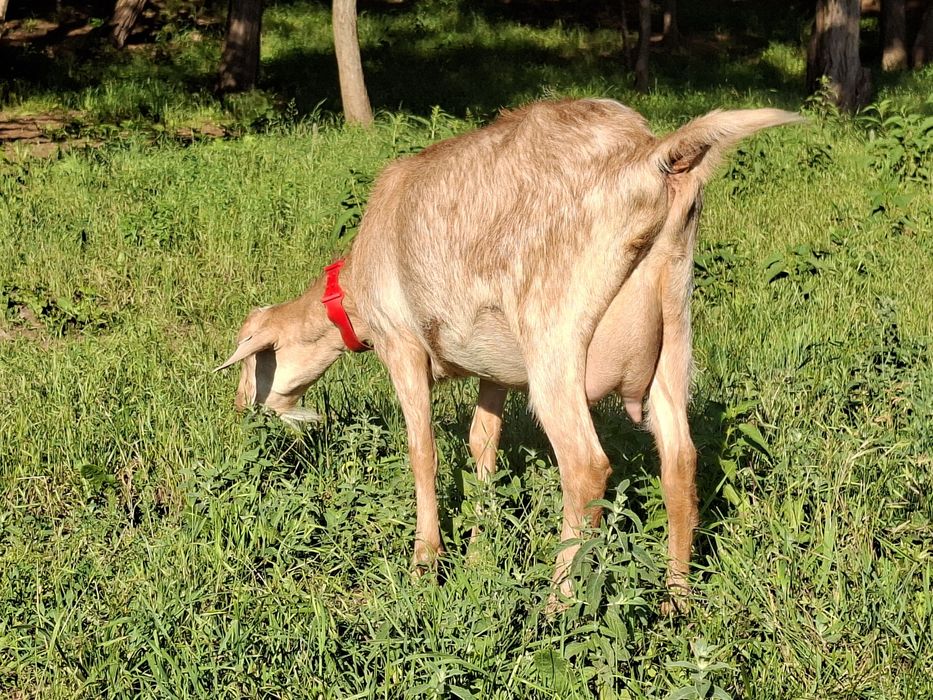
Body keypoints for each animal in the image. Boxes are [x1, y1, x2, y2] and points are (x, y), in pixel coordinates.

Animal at [217, 99, 802, 608]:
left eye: (251, 361)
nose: (243, 412)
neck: (355, 293)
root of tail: (651, 157)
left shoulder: (402, 345)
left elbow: (423, 450)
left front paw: (426, 561)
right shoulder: (493, 367)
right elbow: (483, 446)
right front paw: (478, 553)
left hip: (555, 337)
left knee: (586, 466)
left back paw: (558, 604)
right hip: (673, 330)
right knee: (680, 458)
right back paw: (675, 600)